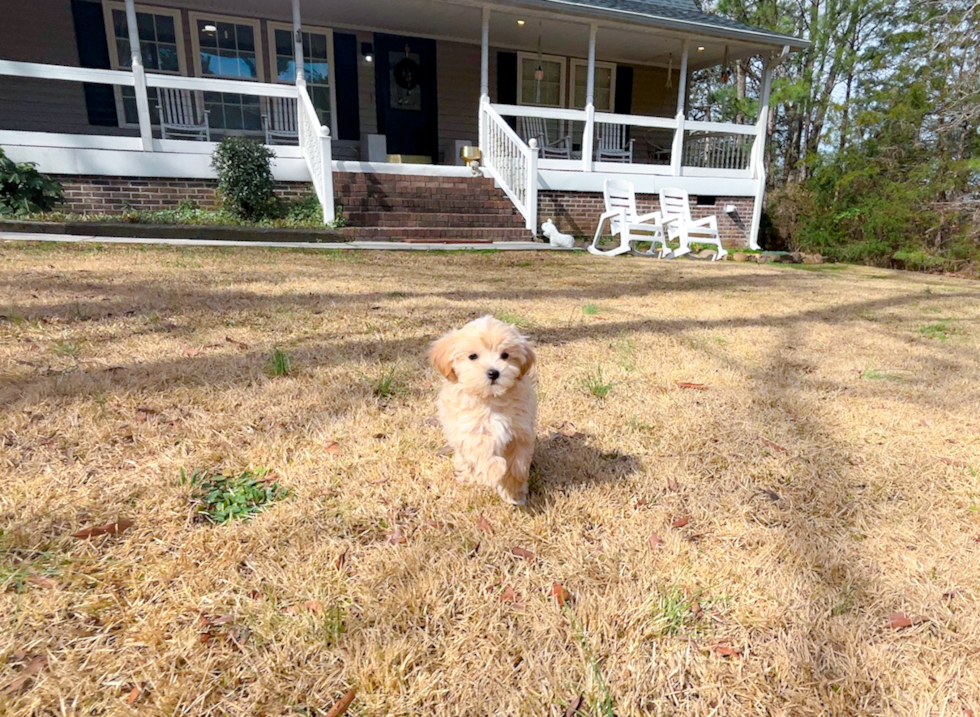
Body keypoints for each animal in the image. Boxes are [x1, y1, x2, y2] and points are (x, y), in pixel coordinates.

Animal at [428, 314, 536, 504]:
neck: (492, 399)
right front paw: (494, 470)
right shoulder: (468, 427)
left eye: (505, 355)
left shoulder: (521, 430)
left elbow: (518, 461)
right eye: (473, 356)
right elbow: (482, 445)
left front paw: (513, 489)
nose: (493, 373)